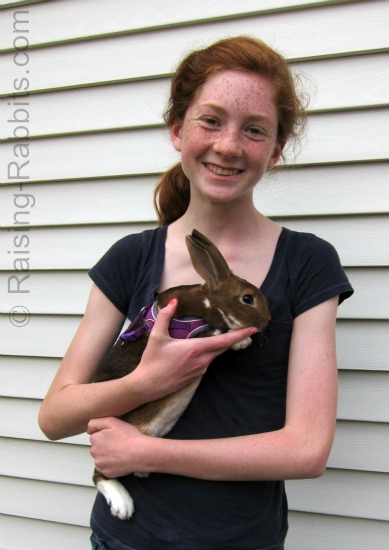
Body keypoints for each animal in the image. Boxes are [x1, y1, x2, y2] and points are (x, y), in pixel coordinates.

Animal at [92, 230, 272, 520]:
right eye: (247, 298)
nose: (268, 319)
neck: (208, 301)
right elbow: (215, 334)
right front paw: (240, 341)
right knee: (99, 476)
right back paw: (122, 505)